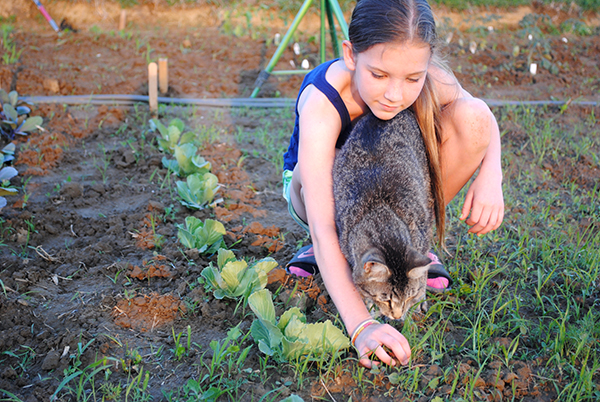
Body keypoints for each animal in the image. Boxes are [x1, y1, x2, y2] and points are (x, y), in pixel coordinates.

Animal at [332, 109, 436, 320]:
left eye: (408, 297)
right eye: (386, 299)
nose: (397, 317)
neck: (380, 210)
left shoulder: (422, 232)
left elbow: (422, 275)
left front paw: (419, 299)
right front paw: (369, 307)